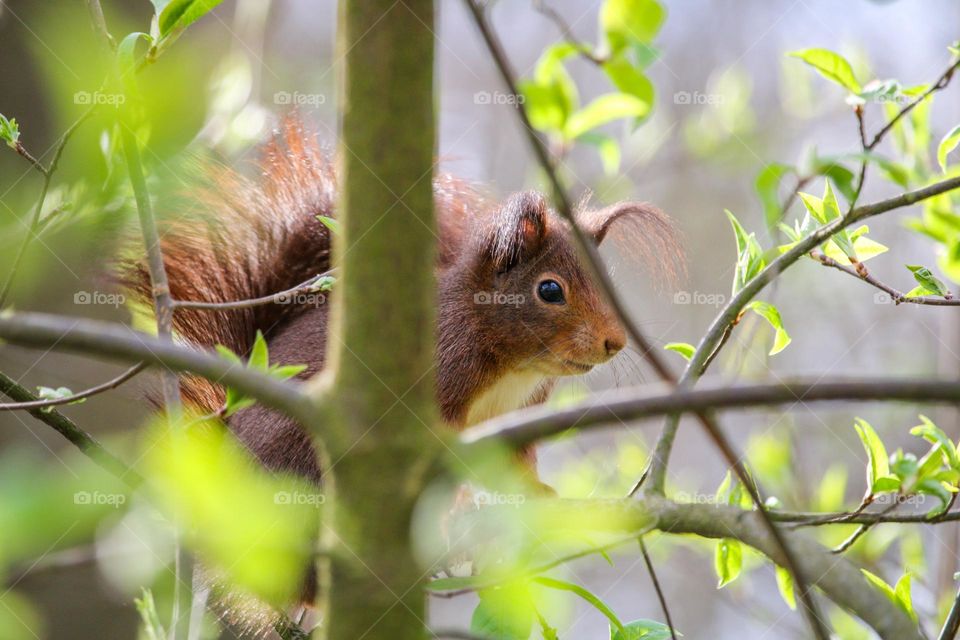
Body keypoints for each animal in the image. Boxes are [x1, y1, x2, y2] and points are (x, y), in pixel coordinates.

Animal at [126, 116, 679, 631]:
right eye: (549, 290)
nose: (615, 341)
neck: (511, 362)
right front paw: (456, 508)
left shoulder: (518, 416)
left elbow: (516, 463)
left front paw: (531, 494)